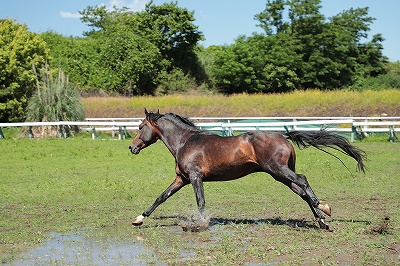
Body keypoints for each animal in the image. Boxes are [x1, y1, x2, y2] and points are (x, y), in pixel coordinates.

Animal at [128, 109, 366, 230]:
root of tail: (283, 135)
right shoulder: (181, 179)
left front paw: (199, 224)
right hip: (279, 175)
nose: (131, 147)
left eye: (140, 127)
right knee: (301, 191)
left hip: (278, 169)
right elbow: (161, 197)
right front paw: (139, 218)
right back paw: (321, 220)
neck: (185, 142)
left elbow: (200, 202)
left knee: (303, 179)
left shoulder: (196, 177)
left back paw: (324, 208)